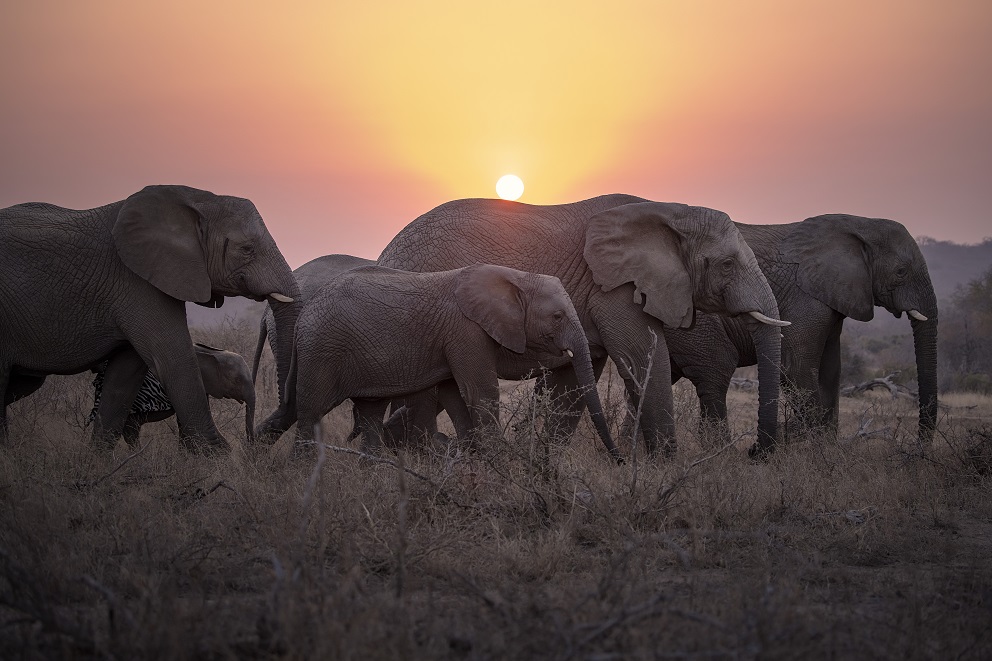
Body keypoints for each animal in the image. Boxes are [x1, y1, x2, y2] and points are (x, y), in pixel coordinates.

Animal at [256, 263, 623, 463]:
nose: (619, 460)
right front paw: (497, 463)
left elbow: (455, 395)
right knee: (310, 412)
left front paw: (475, 459)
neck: (516, 277)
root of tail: (303, 316)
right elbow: (479, 392)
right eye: (558, 316)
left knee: (371, 415)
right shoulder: (466, 331)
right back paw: (302, 474)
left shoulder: (453, 339)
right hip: (322, 350)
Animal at [376, 196, 788, 456]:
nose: (755, 452)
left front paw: (545, 462)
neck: (670, 212)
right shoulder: (614, 287)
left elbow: (574, 380)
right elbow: (641, 354)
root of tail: (387, 250)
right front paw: (667, 465)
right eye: (727, 264)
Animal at [663, 214, 938, 453]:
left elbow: (831, 372)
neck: (859, 223)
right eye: (901, 272)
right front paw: (819, 453)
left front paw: (828, 450)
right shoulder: (806, 298)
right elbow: (796, 367)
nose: (917, 448)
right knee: (715, 371)